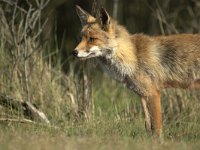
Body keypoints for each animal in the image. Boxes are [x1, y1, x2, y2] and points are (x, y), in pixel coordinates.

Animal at [72, 4, 200, 138]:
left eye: (92, 39)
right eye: (81, 38)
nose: (74, 52)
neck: (133, 55)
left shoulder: (153, 93)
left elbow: (157, 127)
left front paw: (158, 141)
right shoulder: (143, 94)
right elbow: (148, 126)